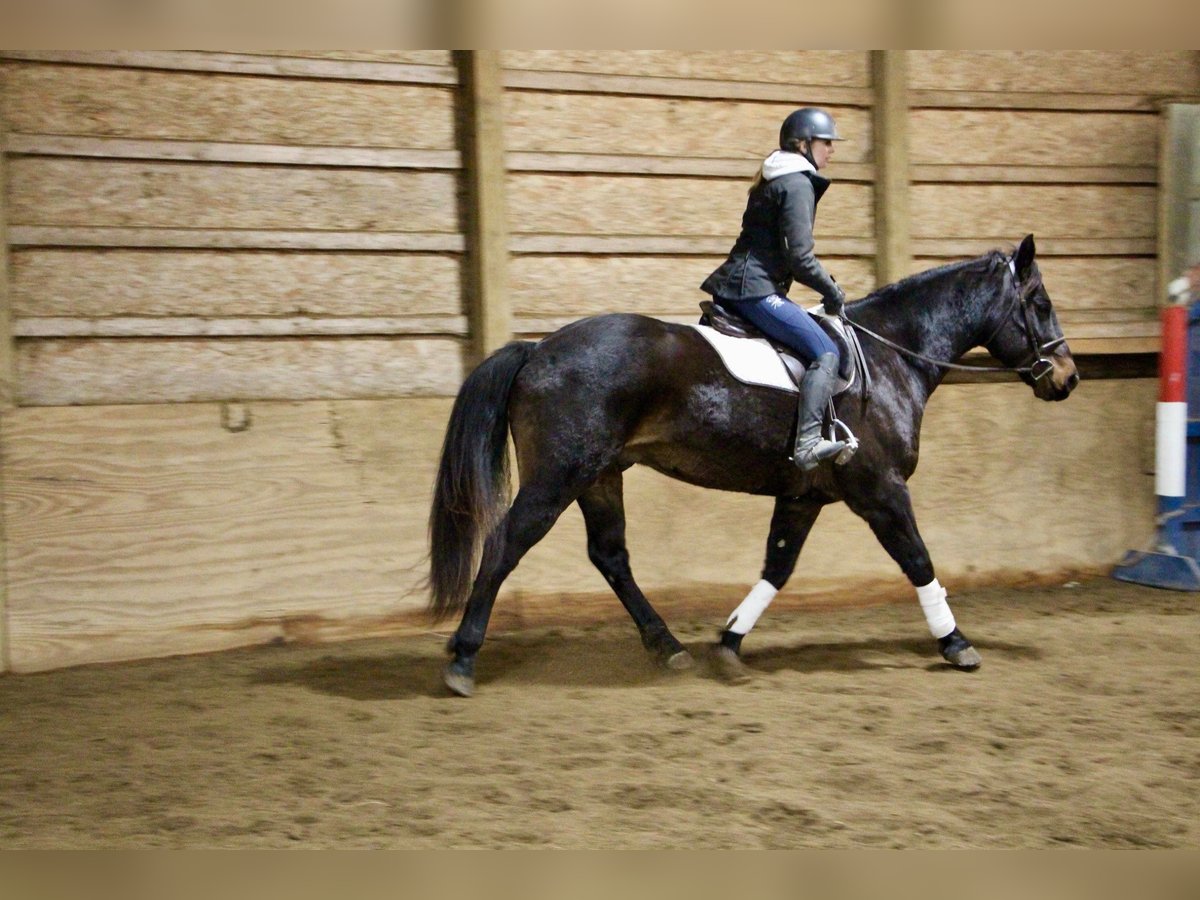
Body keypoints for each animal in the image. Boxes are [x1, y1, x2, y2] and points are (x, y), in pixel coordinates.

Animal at [429, 234, 1080, 696]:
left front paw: (729, 645)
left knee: (610, 556)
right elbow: (918, 560)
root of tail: (538, 349)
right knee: (506, 545)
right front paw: (957, 643)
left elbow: (778, 566)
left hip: (601, 475)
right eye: (1040, 303)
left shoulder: (804, 495)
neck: (889, 354)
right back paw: (463, 657)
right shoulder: (880, 488)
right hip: (559, 475)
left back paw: (669, 648)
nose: (1069, 378)